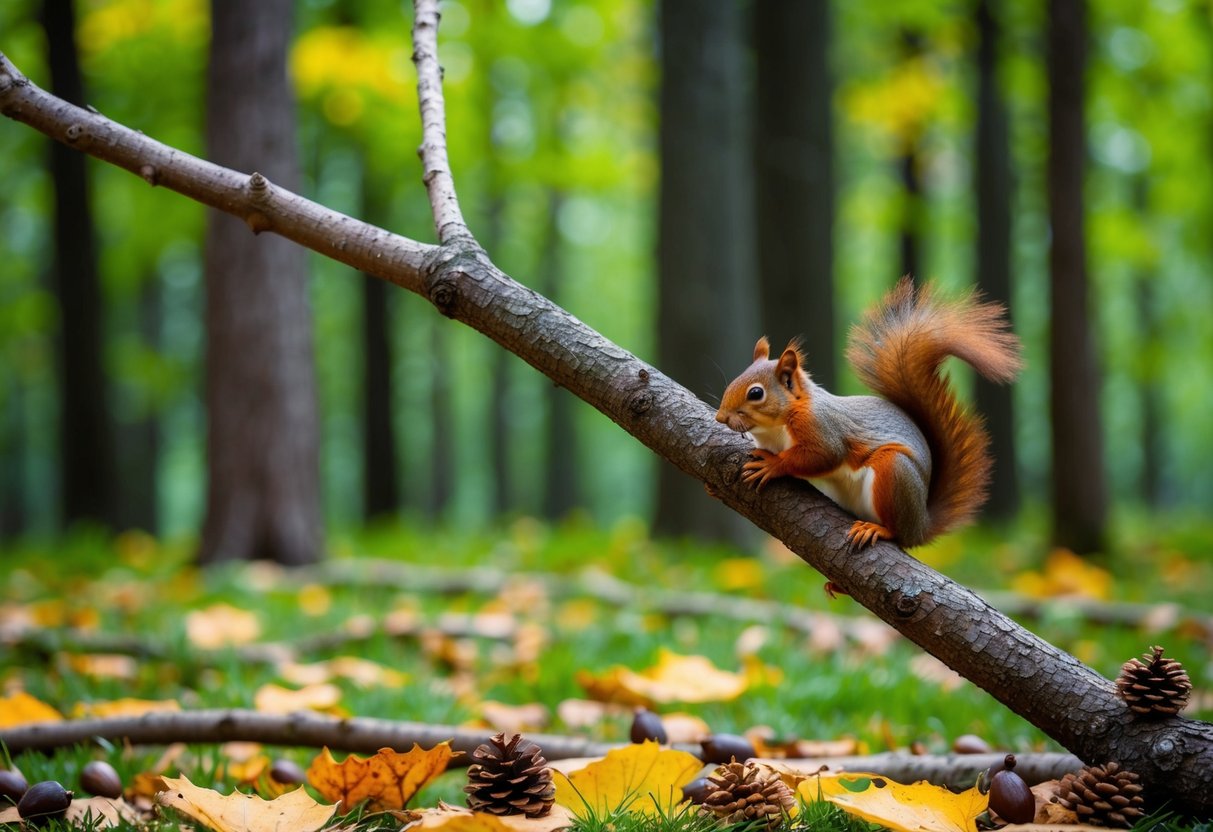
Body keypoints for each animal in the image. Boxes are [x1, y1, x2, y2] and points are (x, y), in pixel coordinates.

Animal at [715, 276, 1022, 552]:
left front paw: (773, 464)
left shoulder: (820, 427)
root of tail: (920, 525)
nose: (721, 418)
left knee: (897, 532)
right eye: (737, 377)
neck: (774, 428)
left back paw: (879, 529)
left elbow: (822, 455)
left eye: (756, 393)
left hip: (893, 473)